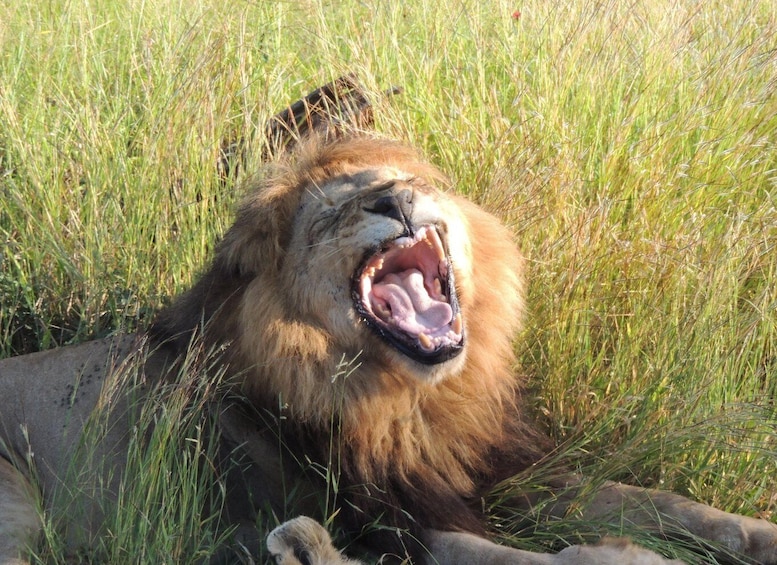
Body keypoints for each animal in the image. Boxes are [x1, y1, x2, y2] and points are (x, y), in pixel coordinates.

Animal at [1, 134, 776, 565]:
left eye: (405, 183)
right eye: (332, 214)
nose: (396, 200)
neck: (412, 400)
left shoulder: (490, 472)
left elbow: (653, 499)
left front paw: (755, 534)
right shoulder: (385, 524)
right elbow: (510, 556)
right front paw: (628, 558)